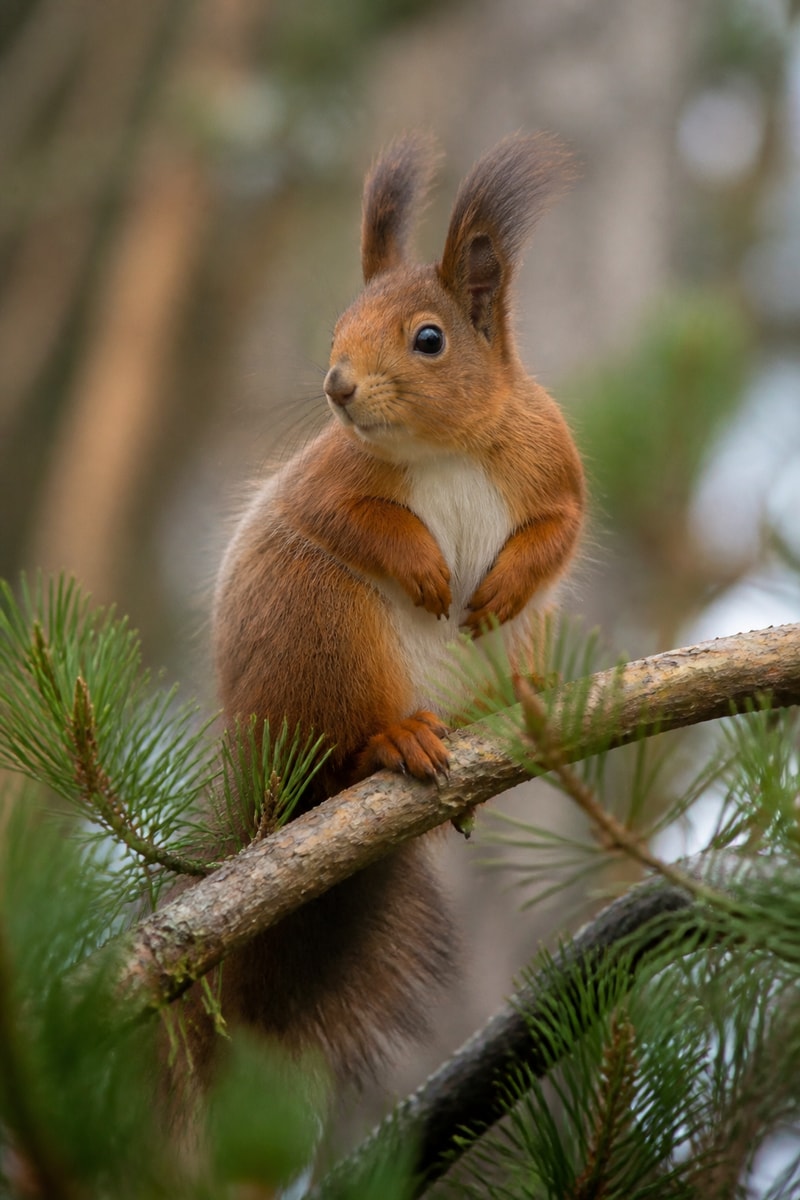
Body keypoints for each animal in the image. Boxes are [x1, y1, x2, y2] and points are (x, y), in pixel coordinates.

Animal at [208, 132, 586, 1085]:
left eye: (429, 339)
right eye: (338, 326)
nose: (338, 386)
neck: (445, 446)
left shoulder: (553, 465)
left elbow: (559, 531)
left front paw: (500, 587)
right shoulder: (327, 479)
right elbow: (349, 521)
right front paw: (423, 571)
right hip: (325, 633)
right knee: (342, 758)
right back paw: (393, 742)